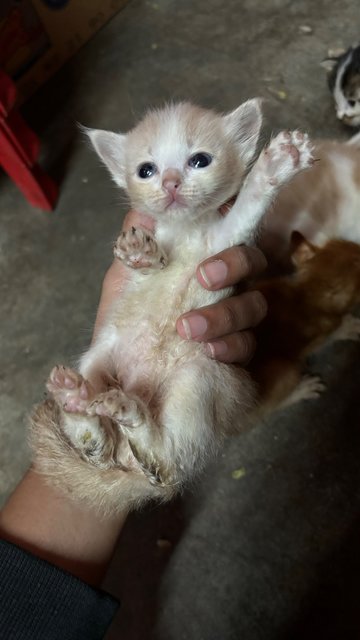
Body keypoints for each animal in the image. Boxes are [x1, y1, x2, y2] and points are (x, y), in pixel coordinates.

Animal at [30, 104, 312, 516]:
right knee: (102, 450)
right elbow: (145, 266)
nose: (171, 182)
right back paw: (76, 402)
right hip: (98, 358)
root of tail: (129, 466)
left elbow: (246, 207)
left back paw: (123, 414)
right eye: (146, 170)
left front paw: (276, 163)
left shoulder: (224, 241)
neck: (185, 231)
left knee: (162, 463)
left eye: (200, 161)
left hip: (199, 377)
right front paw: (141, 254)